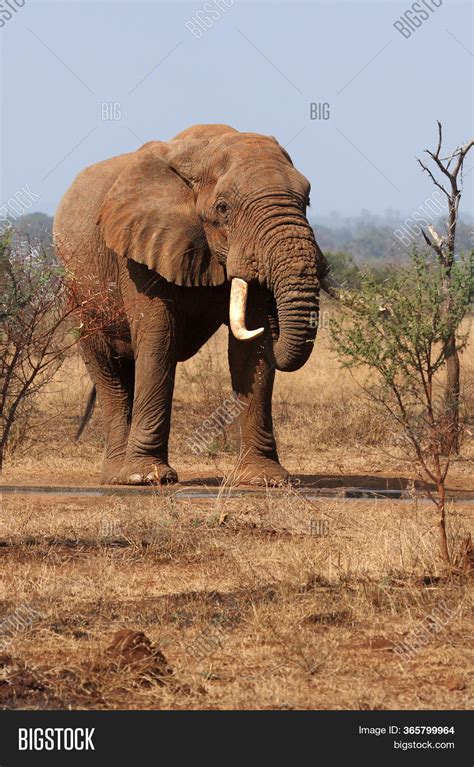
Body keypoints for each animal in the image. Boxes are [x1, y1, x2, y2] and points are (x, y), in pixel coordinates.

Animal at [54, 125, 336, 486]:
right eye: (223, 208)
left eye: (307, 201)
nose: (276, 326)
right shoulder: (139, 249)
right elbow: (159, 336)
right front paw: (149, 478)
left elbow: (251, 349)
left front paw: (265, 480)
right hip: (79, 292)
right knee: (110, 373)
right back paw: (119, 476)